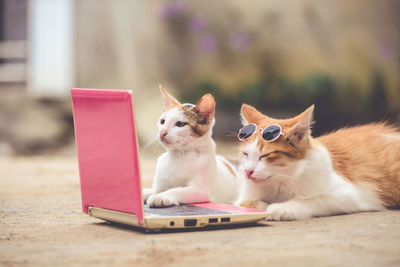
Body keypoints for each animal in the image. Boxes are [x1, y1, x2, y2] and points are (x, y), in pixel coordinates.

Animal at [236, 103, 398, 221]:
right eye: (245, 154)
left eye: (265, 155)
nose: (248, 172)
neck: (280, 181)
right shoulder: (243, 198)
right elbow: (245, 203)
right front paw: (262, 205)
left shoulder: (350, 194)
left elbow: (312, 200)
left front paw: (281, 208)